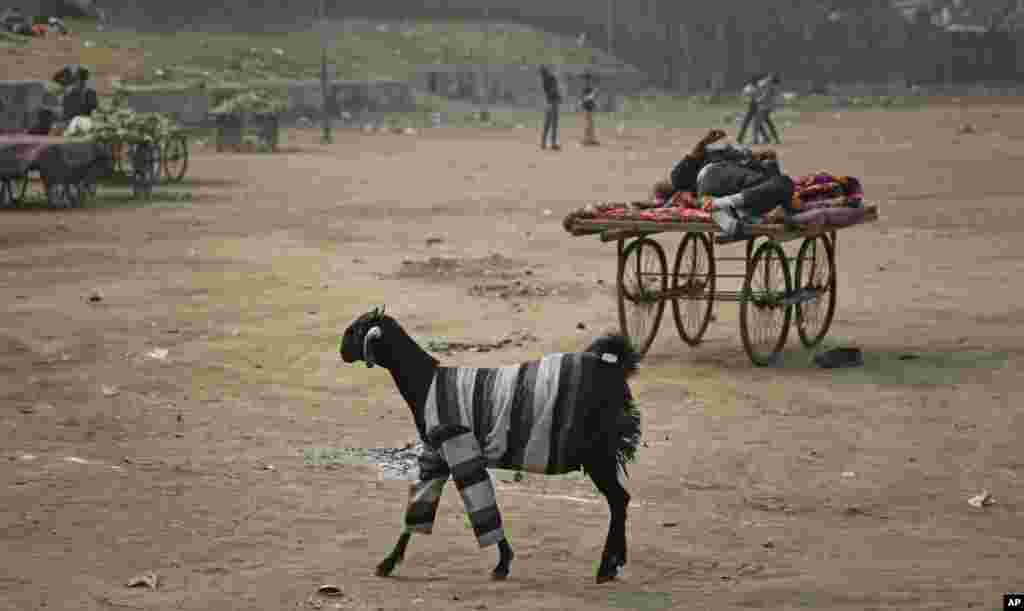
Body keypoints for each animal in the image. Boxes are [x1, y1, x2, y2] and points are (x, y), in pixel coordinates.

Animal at [339, 304, 638, 581]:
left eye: (356, 329)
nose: (342, 351)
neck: (426, 381)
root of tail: (613, 368)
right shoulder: (438, 455)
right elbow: (422, 505)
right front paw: (389, 562)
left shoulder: (459, 447)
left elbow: (479, 505)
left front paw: (502, 563)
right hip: (601, 454)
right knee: (621, 500)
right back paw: (616, 563)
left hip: (598, 453)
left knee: (618, 500)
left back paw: (606, 567)